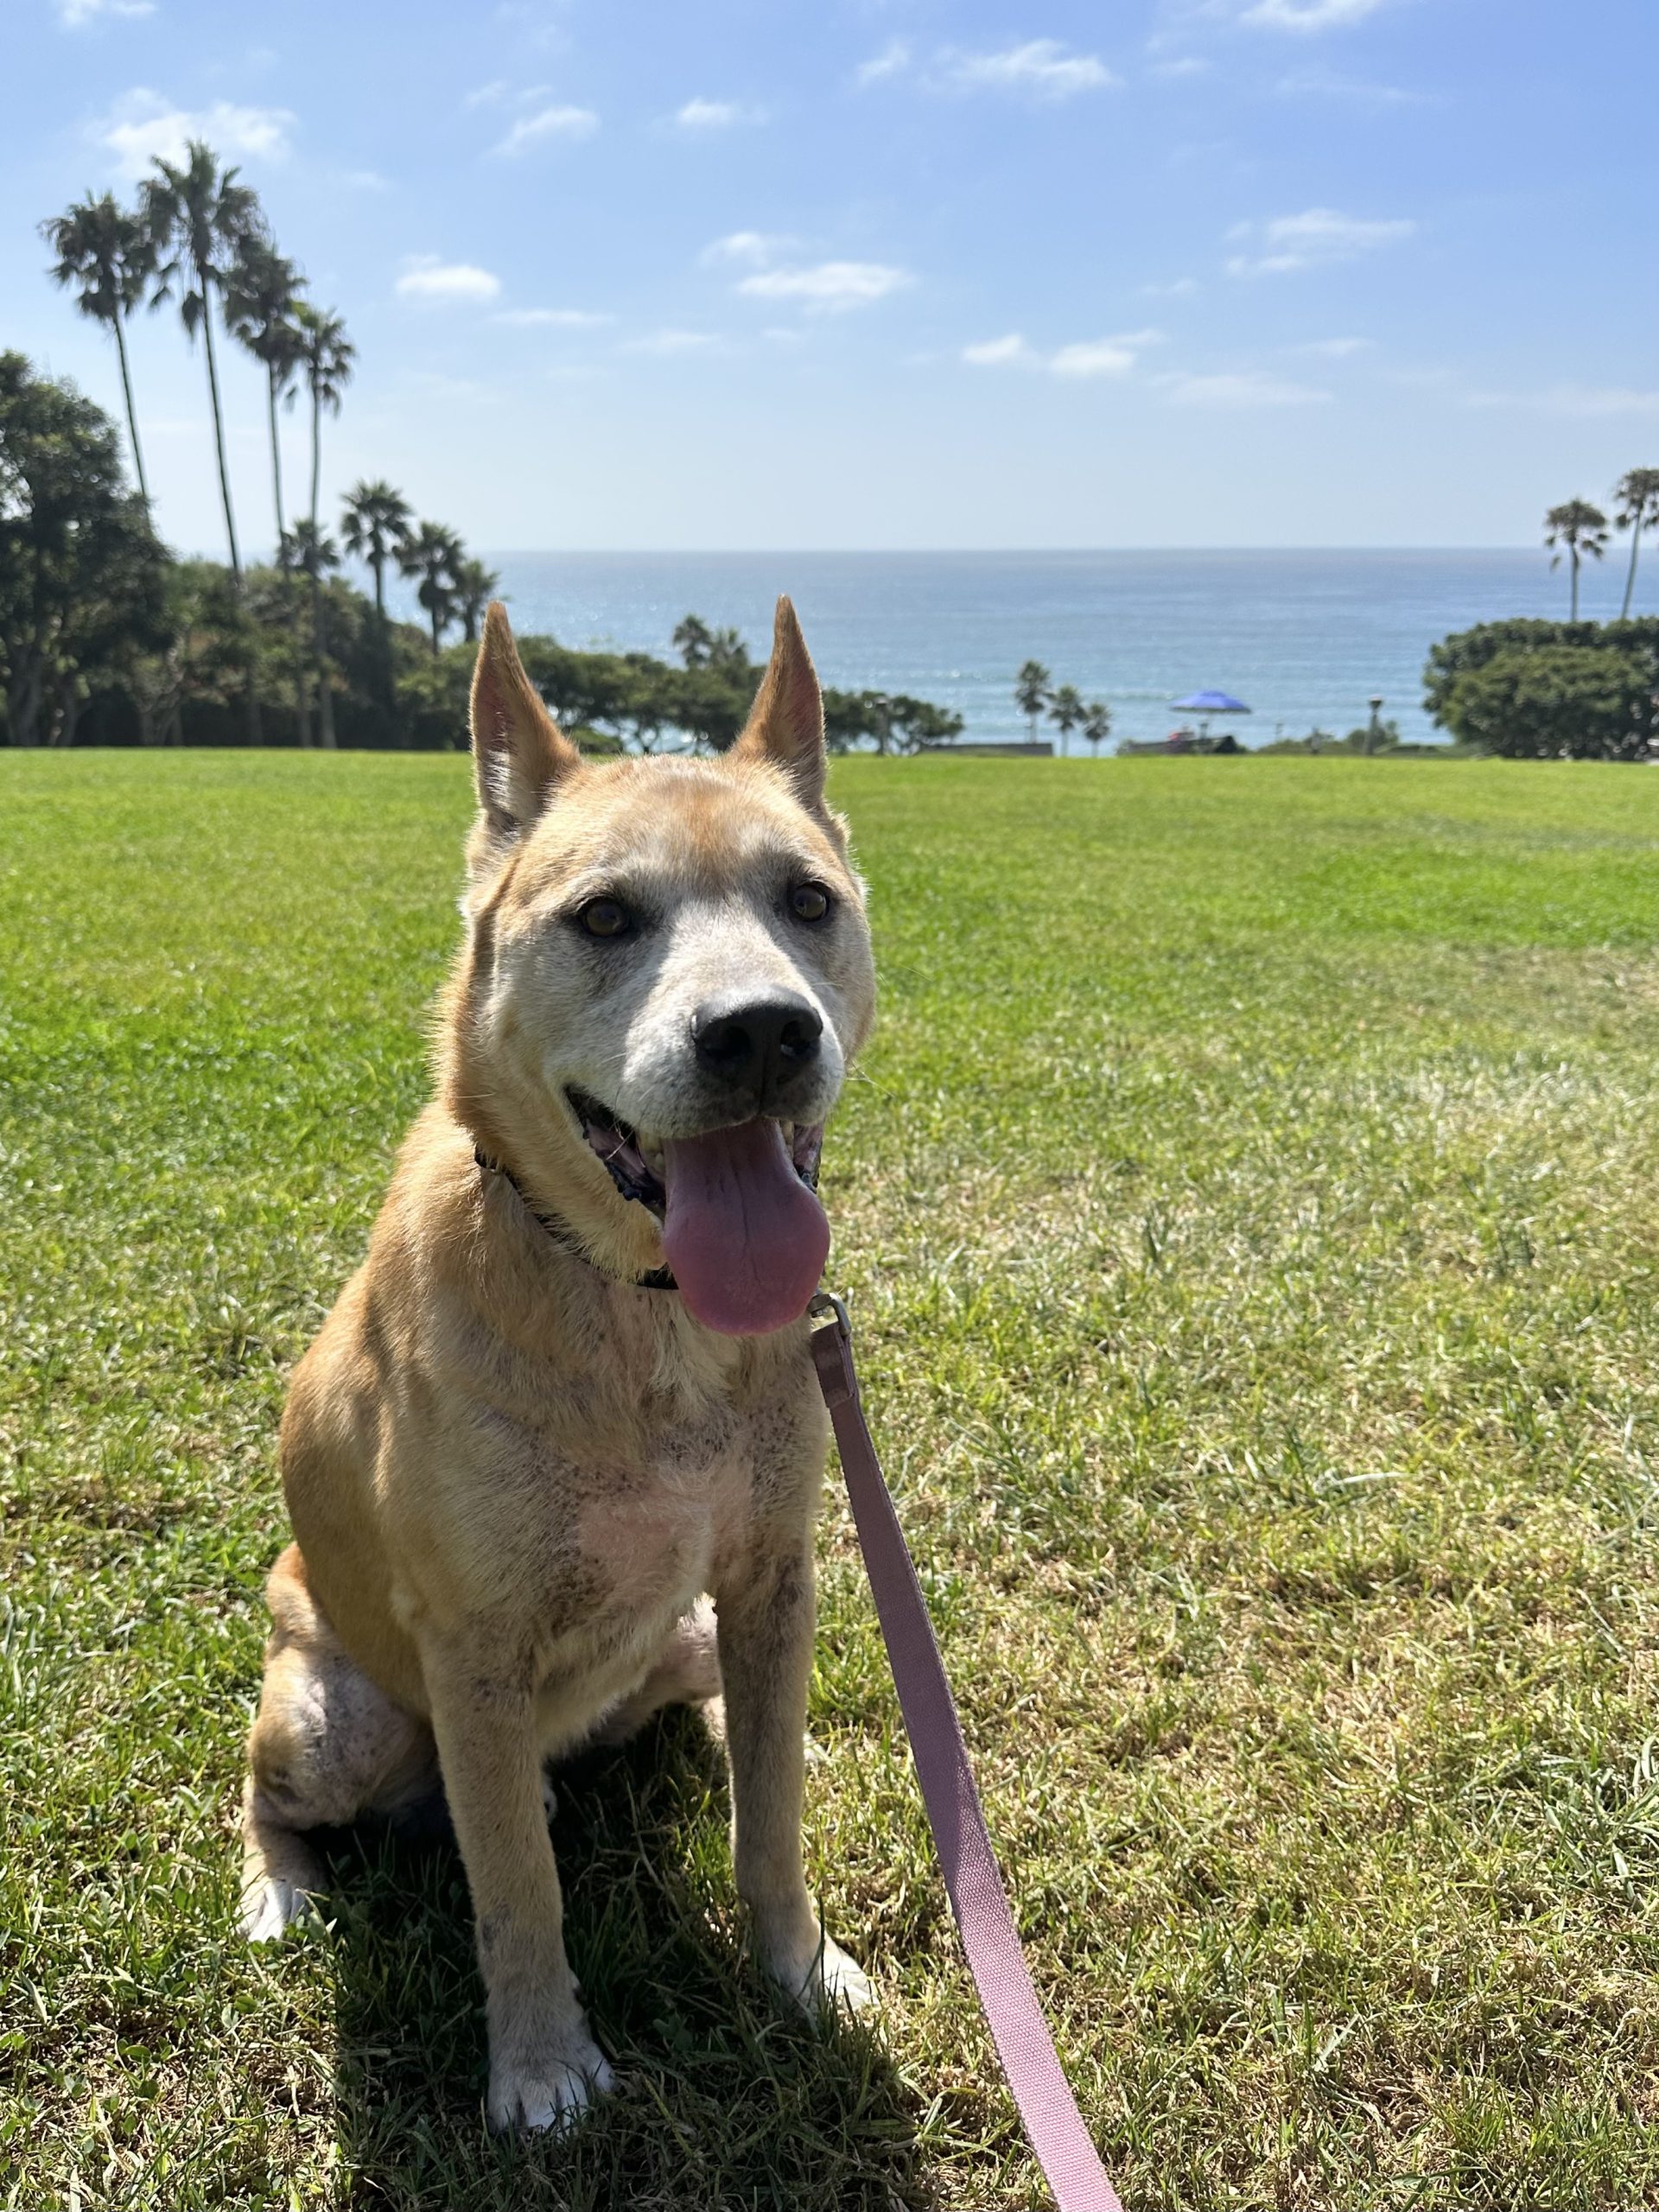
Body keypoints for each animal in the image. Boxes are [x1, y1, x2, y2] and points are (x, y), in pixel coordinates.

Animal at [243, 601, 885, 2123]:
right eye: (604, 917)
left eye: (808, 902)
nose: (763, 1031)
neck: (645, 1311)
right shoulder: (472, 1646)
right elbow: (516, 1899)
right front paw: (541, 2069)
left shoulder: (770, 1578)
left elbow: (770, 1821)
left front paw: (801, 1970)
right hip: (334, 1715)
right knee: (280, 1793)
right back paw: (281, 1889)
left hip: (693, 1635)